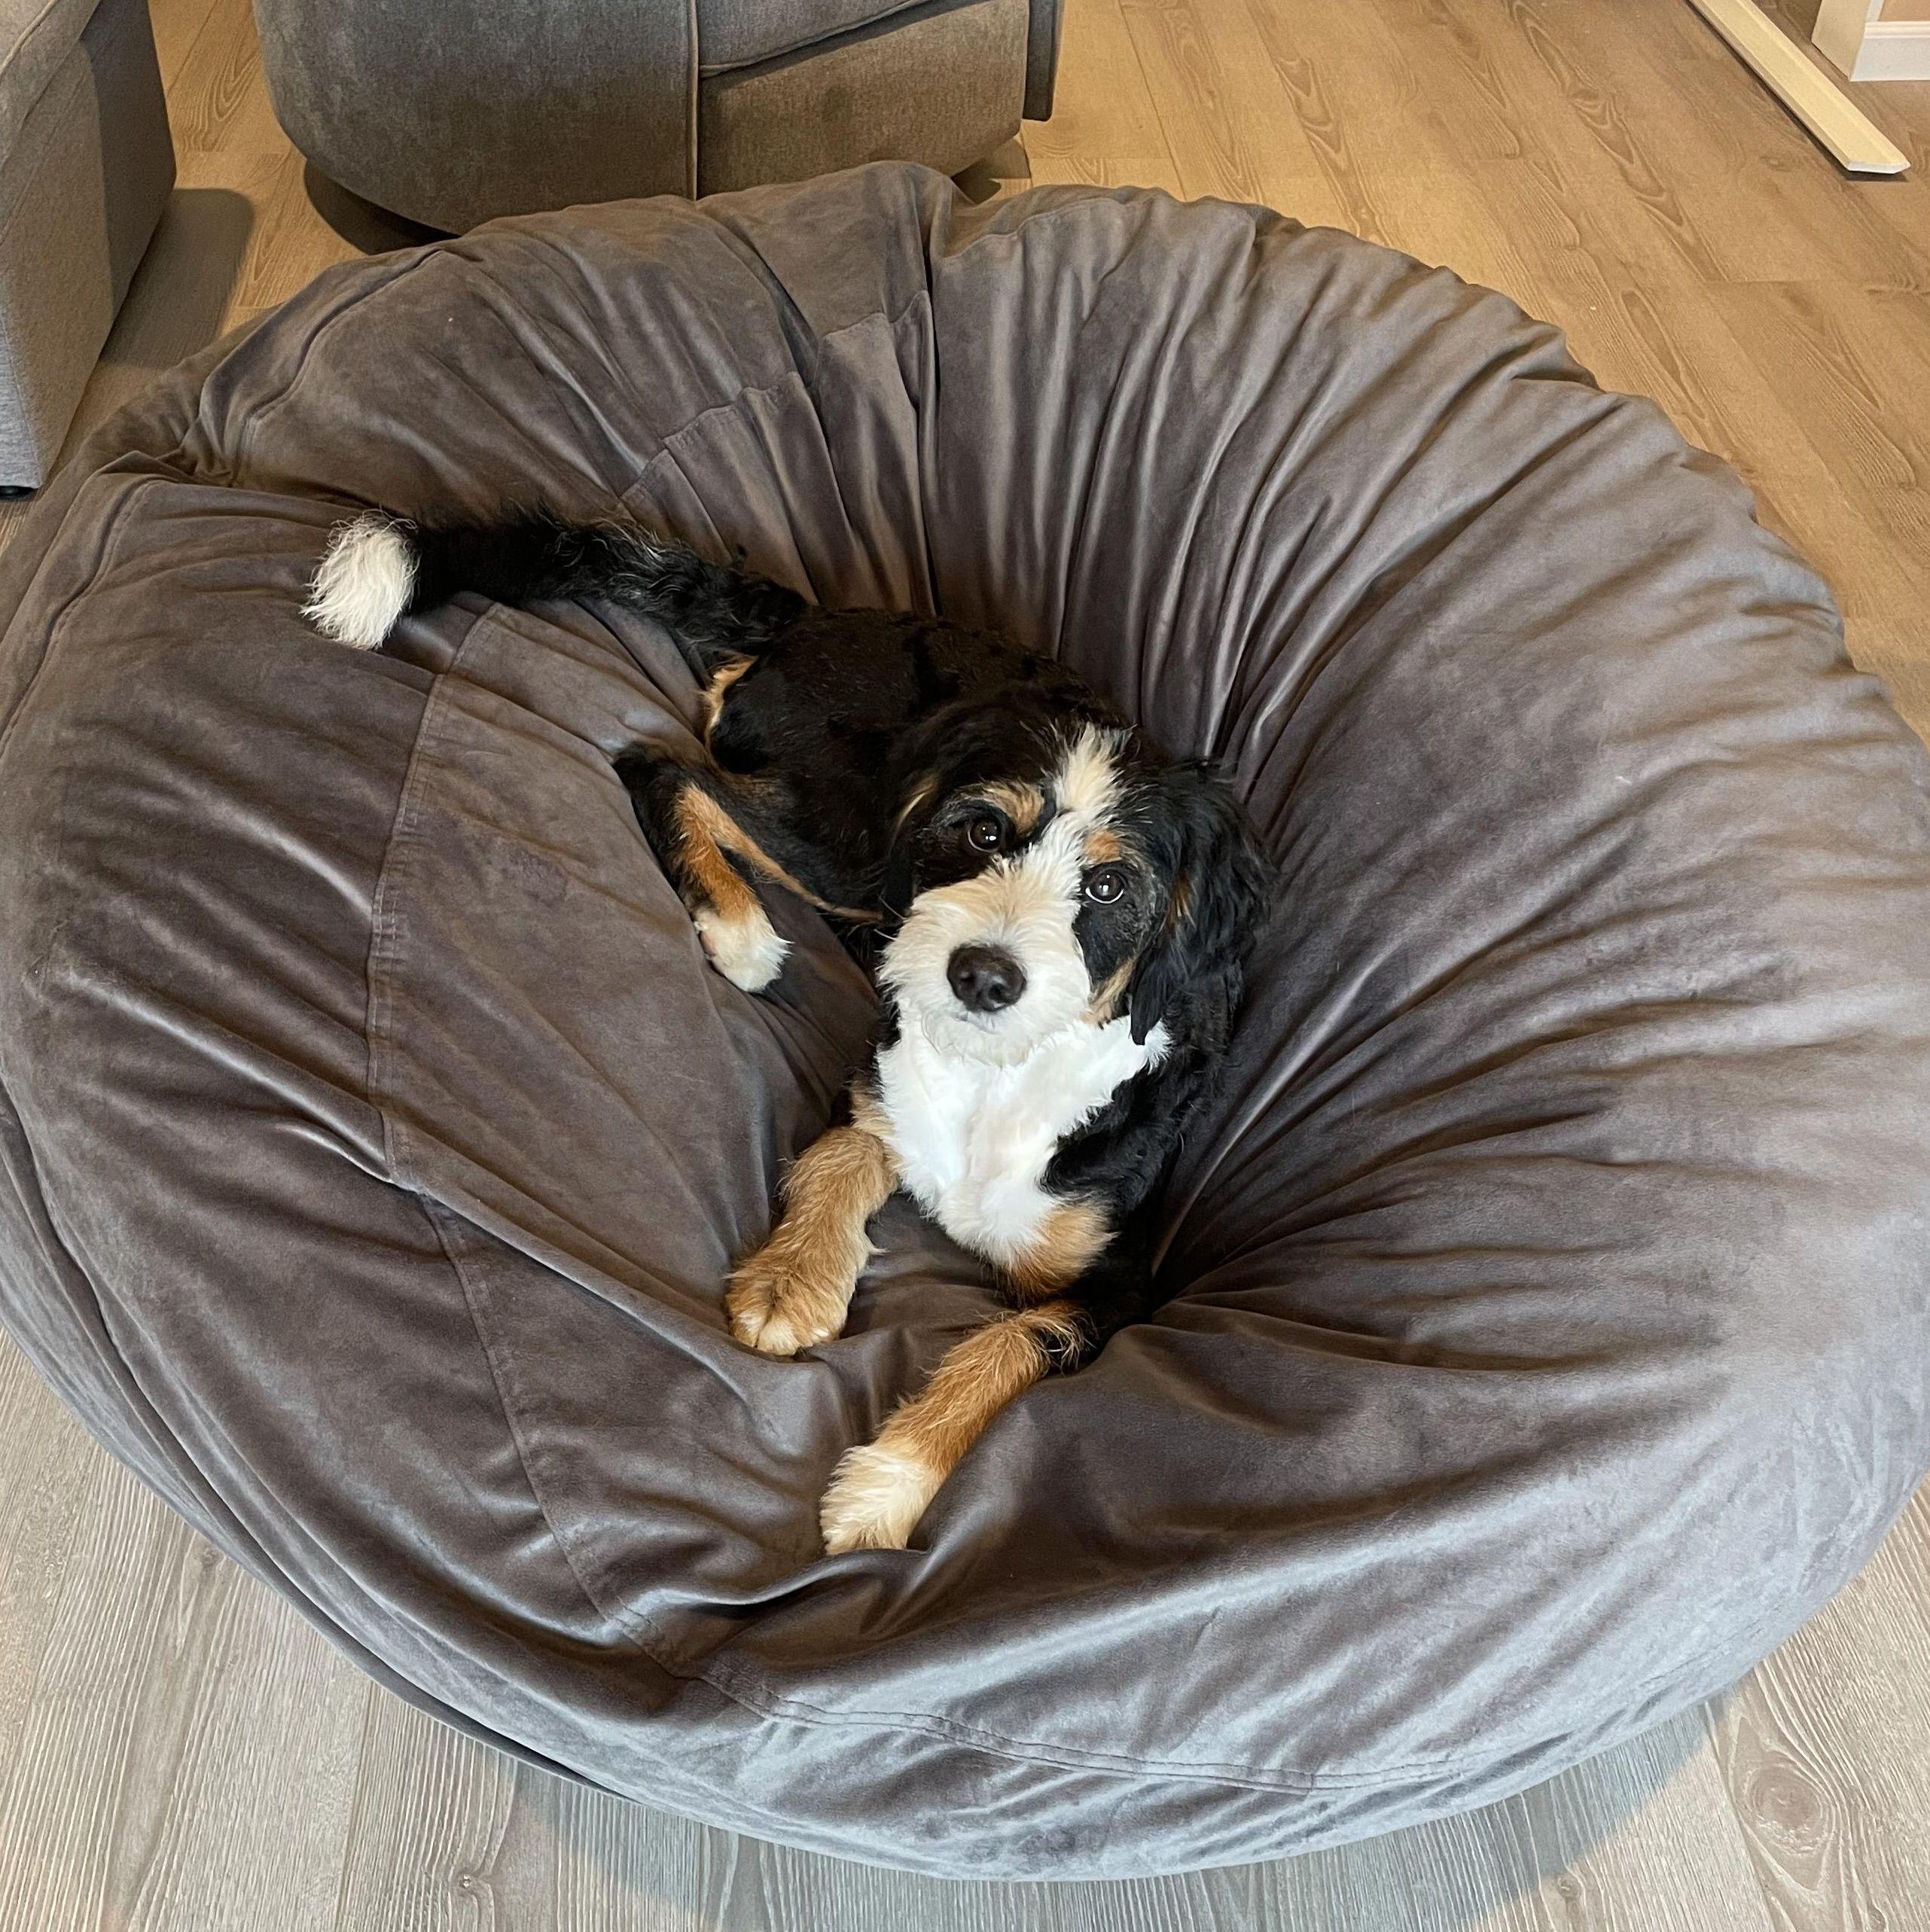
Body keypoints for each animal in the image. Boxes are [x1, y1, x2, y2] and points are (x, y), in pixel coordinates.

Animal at [305, 513, 1267, 1553]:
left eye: (1109, 886)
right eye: (980, 834)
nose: (979, 975)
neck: (994, 1076)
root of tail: (815, 619)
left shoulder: (1118, 1284)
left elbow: (1015, 1336)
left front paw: (882, 1484)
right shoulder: (884, 1079)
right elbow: (838, 1153)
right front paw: (790, 1282)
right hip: (858, 848)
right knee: (662, 768)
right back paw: (738, 928)